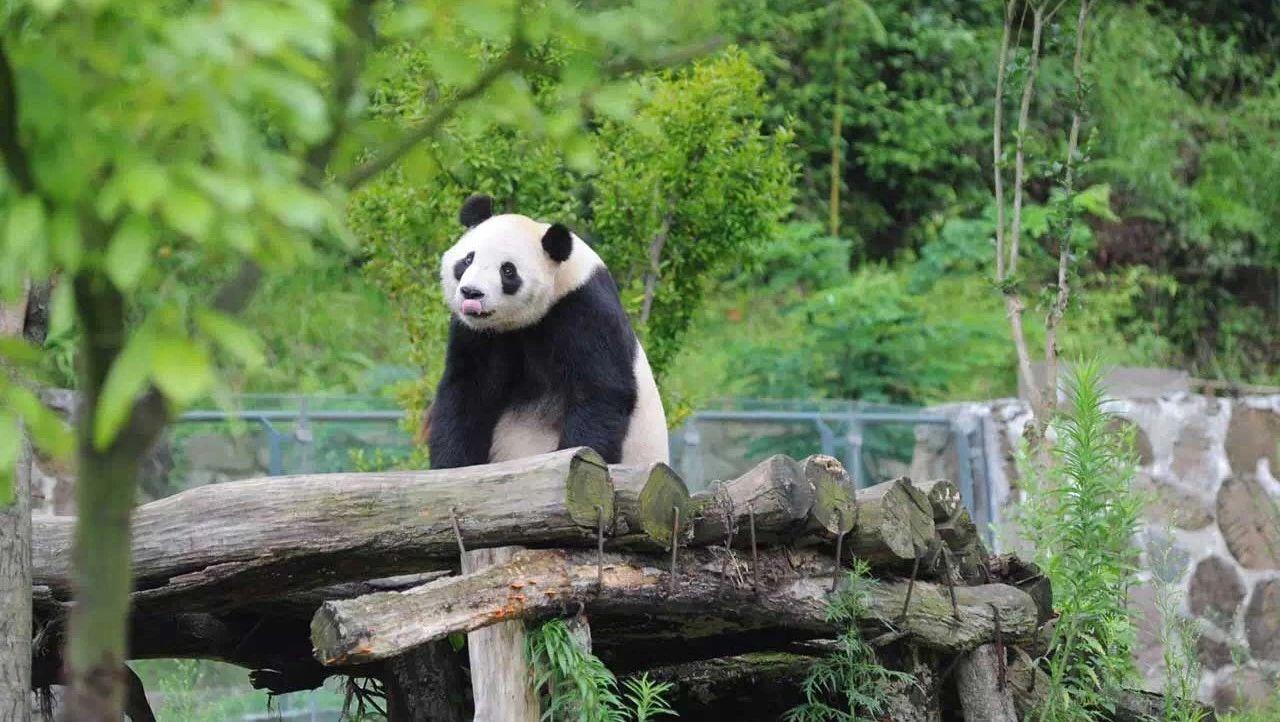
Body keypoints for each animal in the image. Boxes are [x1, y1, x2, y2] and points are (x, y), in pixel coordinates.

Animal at [430, 194, 670, 471]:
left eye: (507, 270)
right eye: (468, 259)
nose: (471, 293)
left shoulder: (585, 309)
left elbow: (600, 392)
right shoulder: (479, 333)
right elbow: (468, 391)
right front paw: (451, 465)